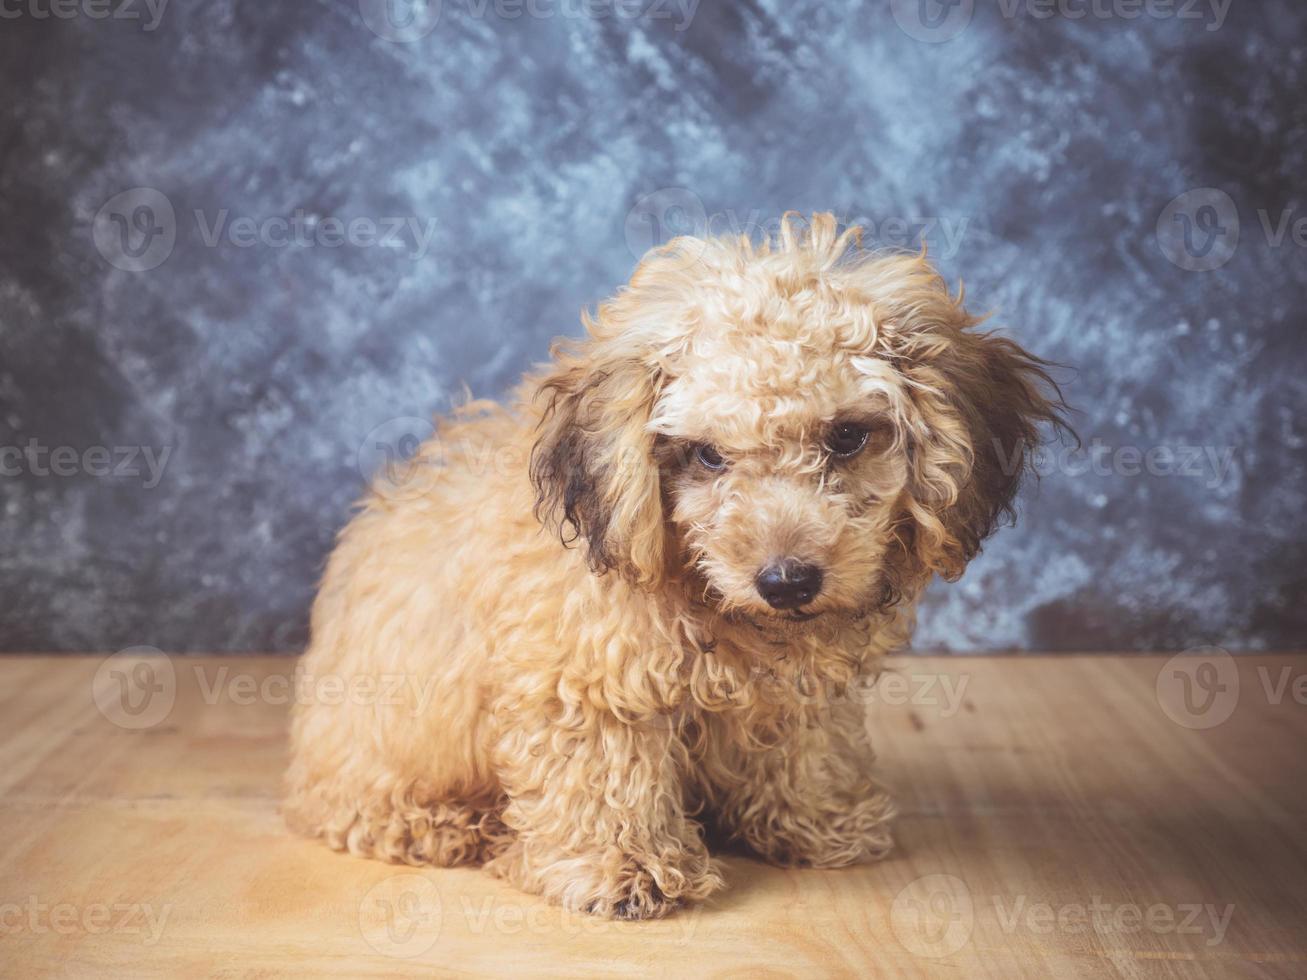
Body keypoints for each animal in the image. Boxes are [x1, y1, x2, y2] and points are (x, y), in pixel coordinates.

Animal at [281, 209, 1066, 919]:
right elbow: (605, 777)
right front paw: (622, 869)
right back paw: (461, 827)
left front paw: (818, 819)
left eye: (847, 436)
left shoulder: (796, 689)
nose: (787, 581)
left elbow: (800, 743)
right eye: (708, 454)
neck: (708, 601)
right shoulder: (582, 677)